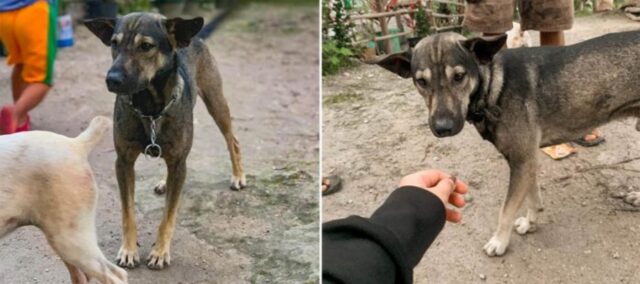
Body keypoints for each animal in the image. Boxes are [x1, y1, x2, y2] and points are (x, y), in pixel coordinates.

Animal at [85, 13, 245, 270]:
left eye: (146, 46)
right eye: (114, 43)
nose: (112, 80)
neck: (149, 106)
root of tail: (194, 36)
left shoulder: (179, 163)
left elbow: (168, 216)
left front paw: (160, 252)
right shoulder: (123, 162)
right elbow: (127, 213)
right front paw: (128, 250)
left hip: (216, 101)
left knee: (233, 140)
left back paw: (238, 175)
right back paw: (164, 182)